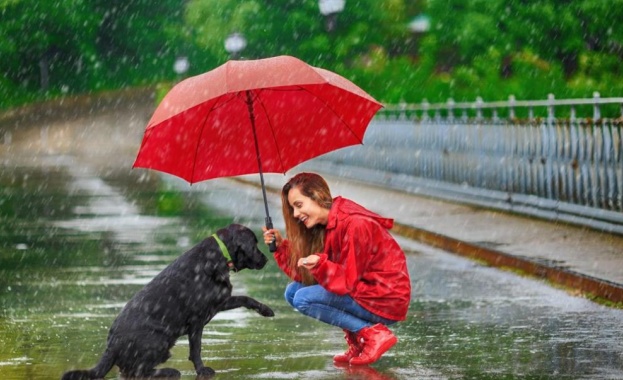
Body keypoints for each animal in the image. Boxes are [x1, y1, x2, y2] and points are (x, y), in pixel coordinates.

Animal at [62, 224, 274, 378]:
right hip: (161, 339)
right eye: (254, 245)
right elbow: (196, 349)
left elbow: (245, 298)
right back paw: (168, 371)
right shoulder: (197, 321)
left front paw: (265, 310)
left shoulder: (219, 302)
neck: (218, 256)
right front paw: (202, 370)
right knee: (135, 371)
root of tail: (111, 347)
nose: (266, 259)